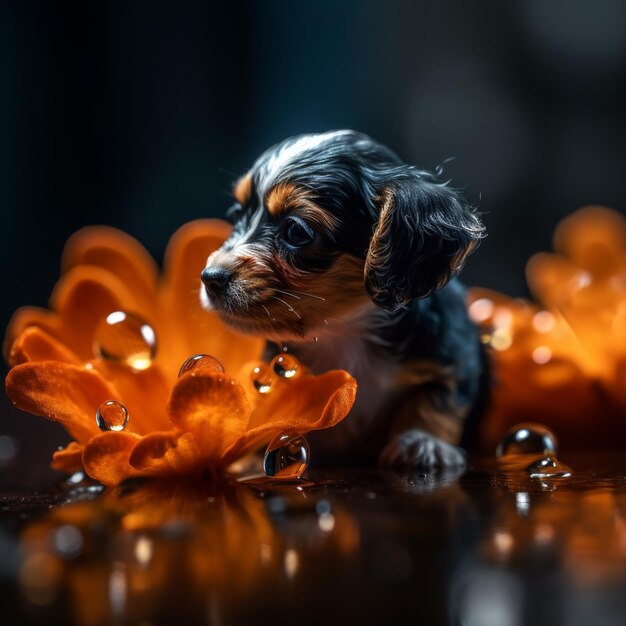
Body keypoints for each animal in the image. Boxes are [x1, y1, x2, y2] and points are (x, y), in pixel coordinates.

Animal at [199, 129, 482, 466]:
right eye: (235, 214)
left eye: (296, 231)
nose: (210, 277)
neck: (344, 332)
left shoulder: (456, 356)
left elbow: (438, 400)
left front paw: (423, 443)